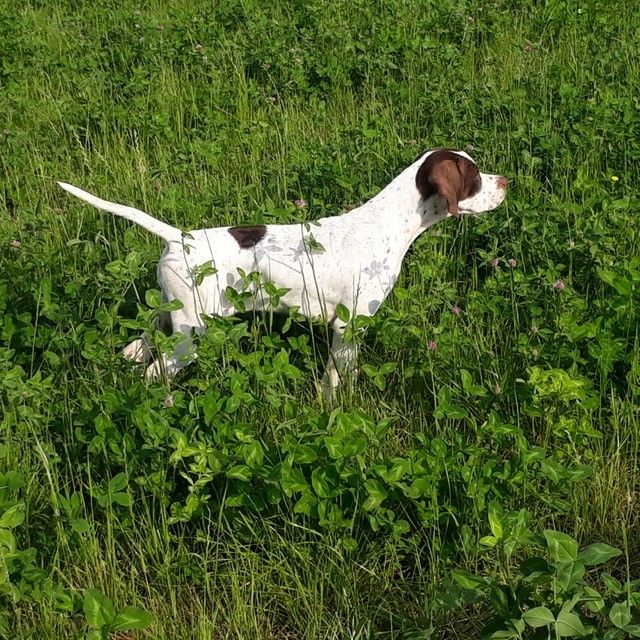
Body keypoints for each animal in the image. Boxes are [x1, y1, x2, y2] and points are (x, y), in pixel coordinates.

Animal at [57, 148, 508, 396]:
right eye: (473, 176)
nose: (506, 180)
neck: (387, 224)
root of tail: (178, 237)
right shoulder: (350, 325)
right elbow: (339, 380)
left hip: (166, 316)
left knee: (138, 350)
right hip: (192, 334)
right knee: (155, 373)